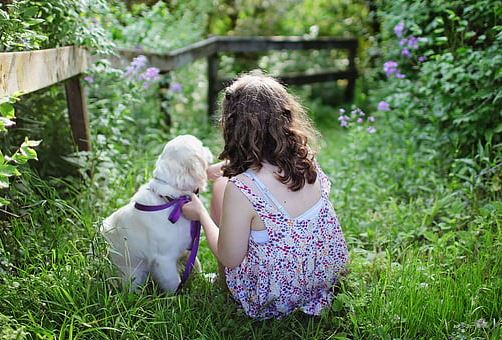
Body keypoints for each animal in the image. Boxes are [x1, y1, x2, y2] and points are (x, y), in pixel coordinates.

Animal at [101, 135, 213, 292]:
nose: (209, 149)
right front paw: (177, 296)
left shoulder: (188, 247)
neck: (172, 200)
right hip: (133, 274)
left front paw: (205, 279)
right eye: (201, 147)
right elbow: (173, 282)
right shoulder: (164, 259)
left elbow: (196, 264)